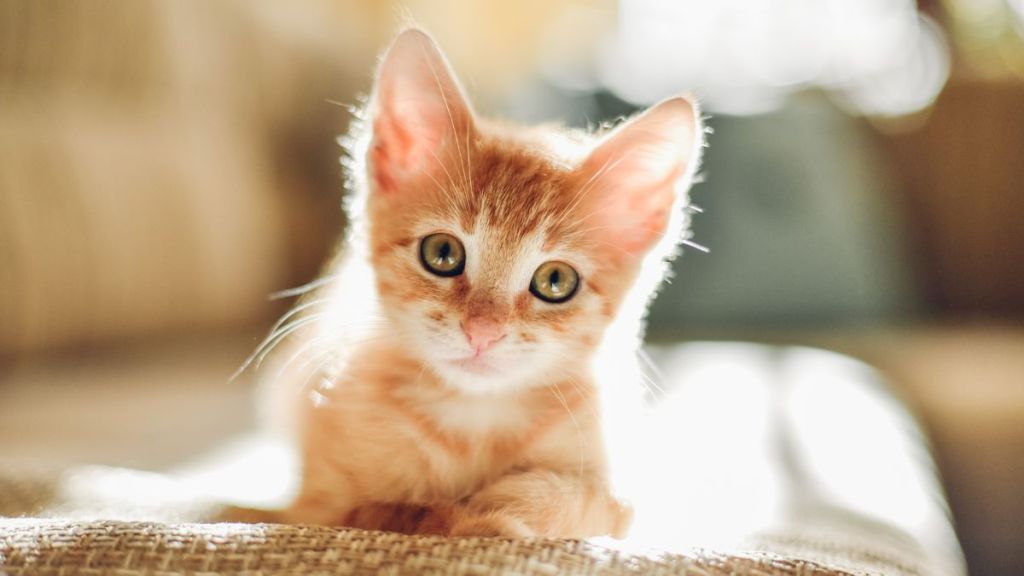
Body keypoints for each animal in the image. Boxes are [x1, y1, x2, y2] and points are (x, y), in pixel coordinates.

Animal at [256, 29, 704, 537]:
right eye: (442, 254)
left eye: (555, 280)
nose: (482, 332)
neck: (474, 418)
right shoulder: (317, 508)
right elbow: (382, 511)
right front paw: (460, 517)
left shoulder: (620, 490)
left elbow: (588, 500)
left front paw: (500, 507)